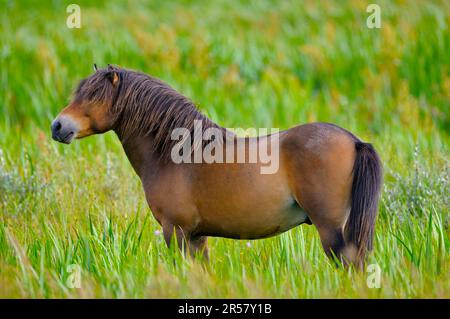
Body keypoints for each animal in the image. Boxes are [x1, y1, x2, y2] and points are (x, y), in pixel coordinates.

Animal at [52, 65, 384, 270]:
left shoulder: (176, 231)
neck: (174, 153)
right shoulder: (196, 237)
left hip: (331, 229)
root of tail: (354, 141)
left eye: (94, 96)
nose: (57, 126)